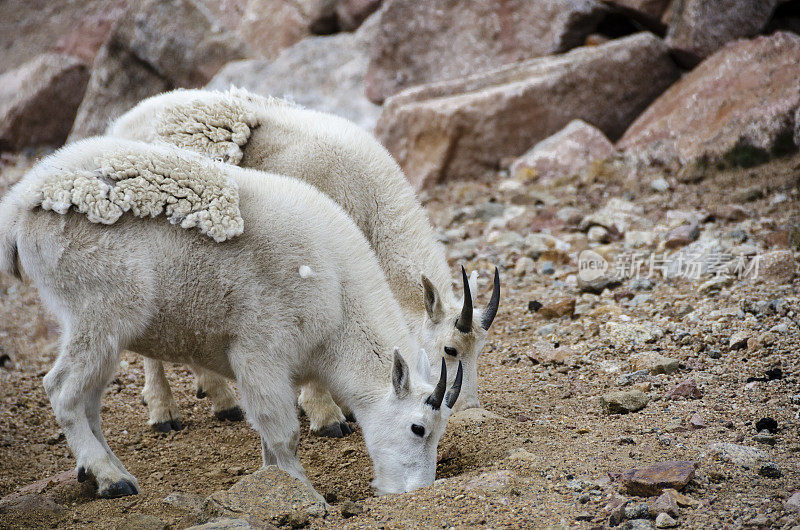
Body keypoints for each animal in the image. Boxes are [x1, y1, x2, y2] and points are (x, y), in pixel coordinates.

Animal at [0, 138, 462, 498]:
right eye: (419, 428)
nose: (414, 491)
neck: (339, 297)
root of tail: (19, 207)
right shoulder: (259, 351)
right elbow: (283, 434)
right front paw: (305, 494)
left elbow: (269, 440)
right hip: (100, 310)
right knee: (61, 389)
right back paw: (111, 479)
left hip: (104, 330)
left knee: (89, 400)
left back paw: (104, 472)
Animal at [108, 88, 500, 436]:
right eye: (449, 349)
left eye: (480, 349)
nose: (469, 410)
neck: (366, 197)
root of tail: (121, 124)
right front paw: (327, 417)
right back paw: (163, 411)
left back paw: (222, 400)